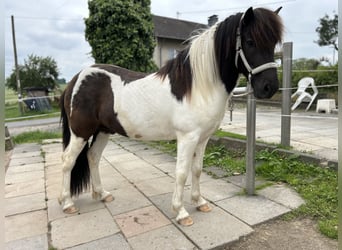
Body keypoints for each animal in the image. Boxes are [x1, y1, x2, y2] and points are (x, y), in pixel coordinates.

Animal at [58, 6, 284, 226]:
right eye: (250, 41)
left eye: (273, 43)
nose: (269, 87)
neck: (197, 87)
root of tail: (75, 80)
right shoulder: (187, 137)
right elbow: (182, 172)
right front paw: (181, 212)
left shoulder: (203, 138)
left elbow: (197, 169)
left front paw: (200, 202)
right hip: (81, 132)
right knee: (68, 160)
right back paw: (67, 203)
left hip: (103, 131)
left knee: (93, 157)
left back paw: (102, 194)